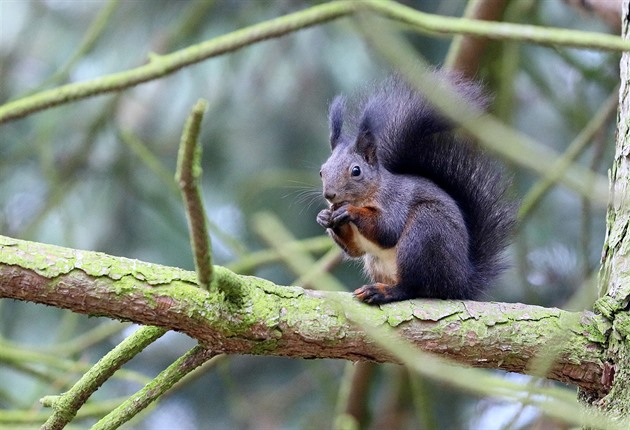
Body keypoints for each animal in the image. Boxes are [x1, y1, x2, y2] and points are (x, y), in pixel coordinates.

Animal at [318, 74, 516, 304]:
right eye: (322, 171)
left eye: (356, 171)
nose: (329, 195)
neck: (371, 192)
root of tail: (460, 283)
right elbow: (354, 250)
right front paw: (325, 217)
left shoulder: (396, 201)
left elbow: (387, 229)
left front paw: (350, 211)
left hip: (423, 234)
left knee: (413, 288)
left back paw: (383, 292)